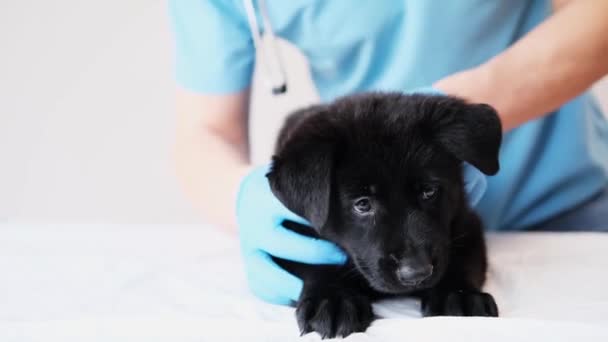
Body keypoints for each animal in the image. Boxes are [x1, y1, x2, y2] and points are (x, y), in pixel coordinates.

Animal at [268, 91, 502, 340]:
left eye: (428, 191)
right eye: (362, 204)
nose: (416, 273)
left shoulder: (466, 221)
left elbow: (462, 258)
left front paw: (458, 295)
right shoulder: (290, 231)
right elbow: (312, 262)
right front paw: (332, 300)